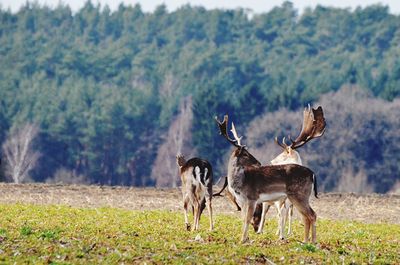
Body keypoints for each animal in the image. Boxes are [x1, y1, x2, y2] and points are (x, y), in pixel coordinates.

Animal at [214, 114, 320, 242]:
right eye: (245, 154)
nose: (258, 162)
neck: (240, 183)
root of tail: (312, 174)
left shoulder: (252, 197)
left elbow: (247, 219)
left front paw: (243, 240)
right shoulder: (243, 201)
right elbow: (243, 219)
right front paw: (245, 238)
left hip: (299, 194)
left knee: (312, 215)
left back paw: (312, 242)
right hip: (298, 197)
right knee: (306, 216)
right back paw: (305, 241)